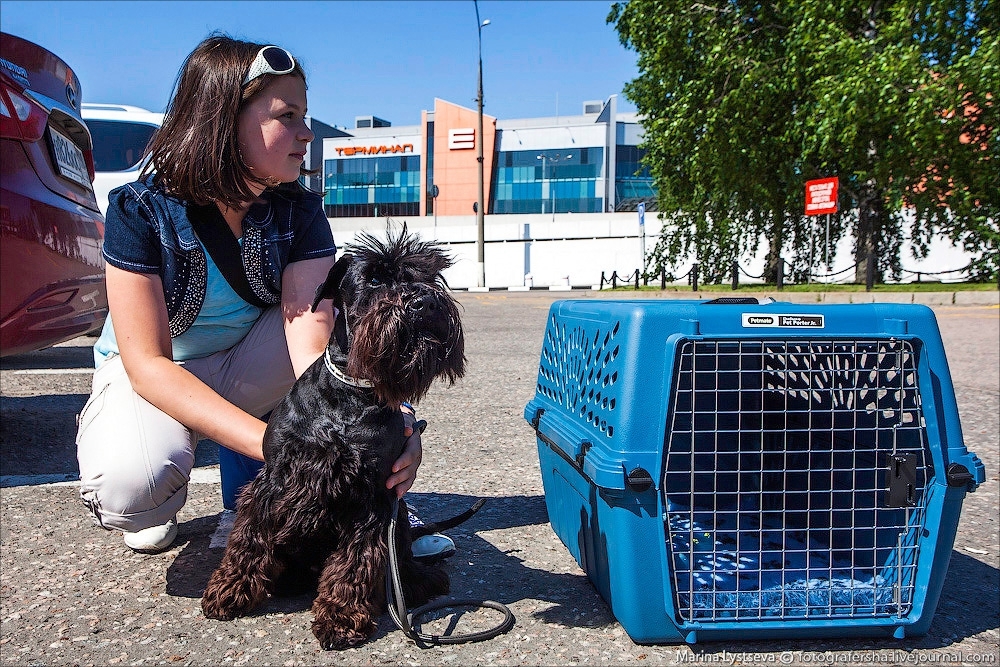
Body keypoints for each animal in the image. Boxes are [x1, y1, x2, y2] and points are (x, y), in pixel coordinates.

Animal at [205, 227, 470, 648]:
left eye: (429, 276)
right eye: (374, 279)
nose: (424, 301)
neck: (350, 396)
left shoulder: (372, 497)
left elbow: (354, 561)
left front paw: (341, 616)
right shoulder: (274, 480)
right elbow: (249, 536)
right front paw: (230, 589)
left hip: (398, 524)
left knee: (402, 563)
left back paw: (417, 583)